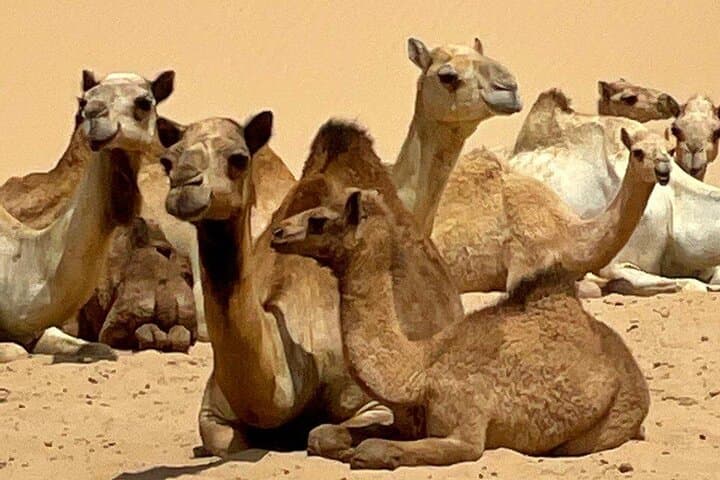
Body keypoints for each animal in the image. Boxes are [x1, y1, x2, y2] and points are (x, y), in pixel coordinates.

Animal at [0, 70, 175, 362]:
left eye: (144, 102)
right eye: (84, 102)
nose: (94, 114)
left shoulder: (40, 327)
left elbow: (97, 347)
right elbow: (14, 351)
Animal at [271, 186, 649, 470]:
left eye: (318, 221)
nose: (277, 232)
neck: (418, 373)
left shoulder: (465, 425)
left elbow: (376, 449)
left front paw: (363, 452)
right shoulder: (405, 420)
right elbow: (322, 434)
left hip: (611, 421)